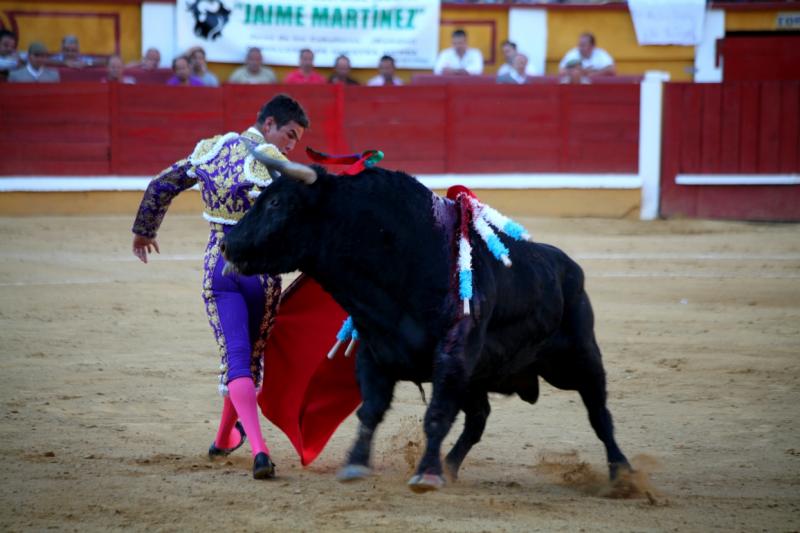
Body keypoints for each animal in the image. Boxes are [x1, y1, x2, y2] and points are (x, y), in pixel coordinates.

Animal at [220, 156, 632, 492]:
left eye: (276, 202)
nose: (228, 245)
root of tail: (568, 267)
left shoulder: (453, 354)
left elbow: (435, 415)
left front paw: (426, 473)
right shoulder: (376, 352)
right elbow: (371, 410)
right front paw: (356, 464)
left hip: (578, 357)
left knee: (598, 411)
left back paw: (622, 474)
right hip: (480, 376)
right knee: (478, 418)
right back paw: (450, 465)